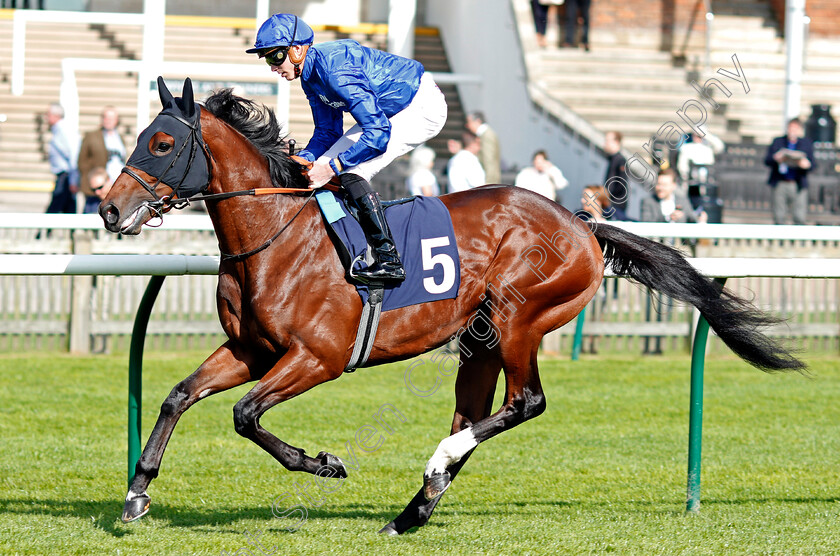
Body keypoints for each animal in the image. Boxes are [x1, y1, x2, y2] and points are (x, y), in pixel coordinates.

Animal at [101, 78, 804, 536]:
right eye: (138, 137)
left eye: (161, 143)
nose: (108, 209)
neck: (276, 234)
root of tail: (581, 224)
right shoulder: (251, 349)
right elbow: (178, 396)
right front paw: (136, 494)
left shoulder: (317, 357)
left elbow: (245, 416)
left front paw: (324, 463)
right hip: (482, 336)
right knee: (476, 410)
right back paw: (415, 508)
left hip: (520, 319)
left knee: (525, 403)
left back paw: (434, 465)